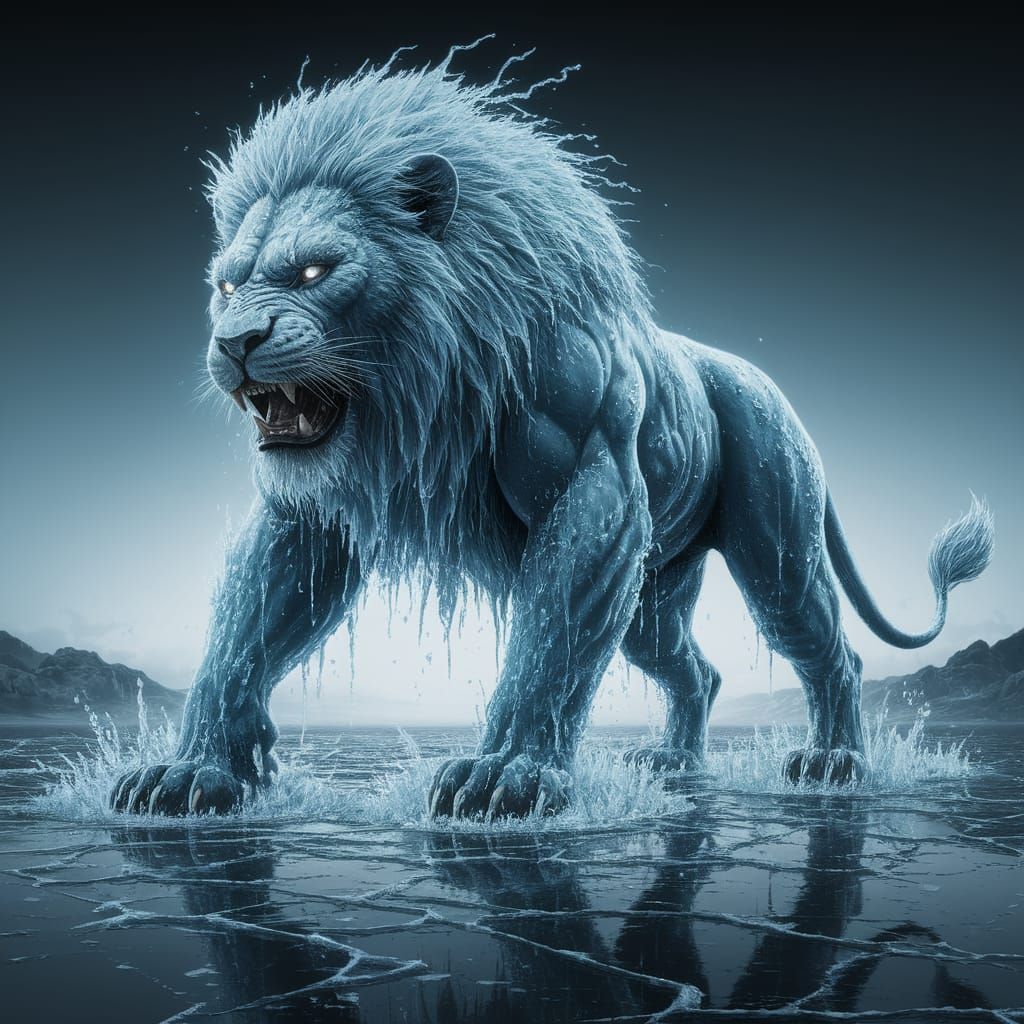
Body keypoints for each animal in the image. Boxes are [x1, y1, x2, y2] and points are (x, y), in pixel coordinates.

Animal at [111, 50, 993, 817]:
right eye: (227, 285)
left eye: (314, 271)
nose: (234, 342)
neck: (430, 378)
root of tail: (753, 378)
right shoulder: (312, 515)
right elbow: (243, 633)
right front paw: (193, 773)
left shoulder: (591, 484)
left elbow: (548, 644)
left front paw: (507, 777)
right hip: (652, 600)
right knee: (697, 672)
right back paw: (675, 763)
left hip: (775, 547)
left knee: (830, 648)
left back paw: (834, 762)